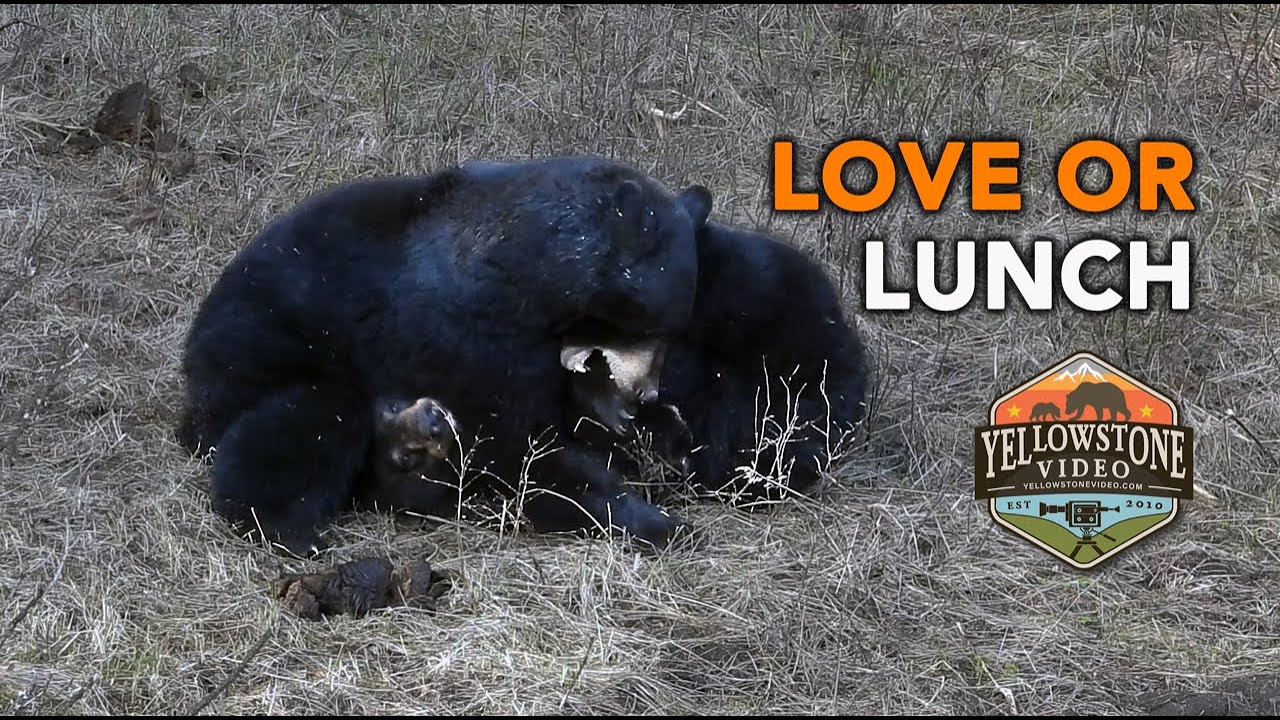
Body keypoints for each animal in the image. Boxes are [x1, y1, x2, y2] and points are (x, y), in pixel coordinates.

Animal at [175, 154, 714, 557]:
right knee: (307, 418)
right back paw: (291, 527)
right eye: (653, 329)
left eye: (673, 332)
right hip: (256, 364)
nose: (647, 391)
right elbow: (519, 447)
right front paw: (656, 520)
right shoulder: (464, 334)